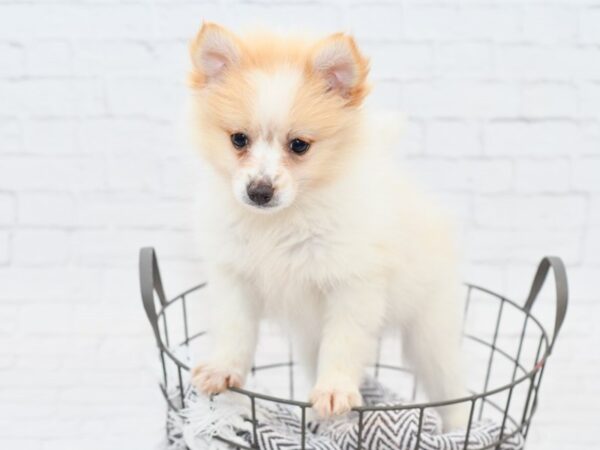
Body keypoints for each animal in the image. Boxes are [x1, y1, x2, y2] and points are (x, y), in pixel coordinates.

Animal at [188, 22, 468, 430]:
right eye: (238, 139)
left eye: (299, 145)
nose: (259, 191)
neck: (277, 223)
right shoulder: (235, 276)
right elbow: (235, 328)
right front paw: (223, 369)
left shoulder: (353, 285)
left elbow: (344, 342)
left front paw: (335, 390)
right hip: (309, 339)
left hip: (431, 331)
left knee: (452, 388)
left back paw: (462, 427)